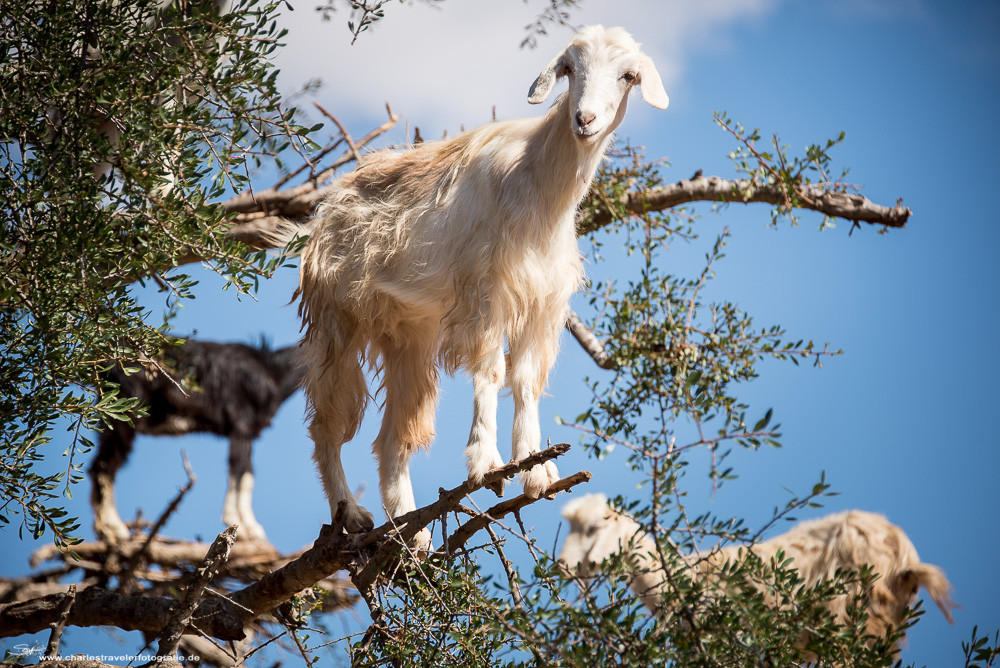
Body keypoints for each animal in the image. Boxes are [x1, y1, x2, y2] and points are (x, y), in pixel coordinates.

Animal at [93, 340, 304, 544]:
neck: (272, 371)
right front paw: (247, 528)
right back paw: (113, 529)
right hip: (122, 410)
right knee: (105, 463)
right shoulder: (241, 424)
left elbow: (244, 473)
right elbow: (243, 472)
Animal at [266, 26, 668, 552]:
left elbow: (525, 380)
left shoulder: (541, 305)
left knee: (392, 438)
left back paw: (412, 535)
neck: (537, 189)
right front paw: (486, 465)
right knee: (327, 426)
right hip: (338, 319)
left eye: (628, 76)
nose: (584, 119)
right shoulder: (485, 294)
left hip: (408, 337)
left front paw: (536, 472)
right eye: (570, 69)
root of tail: (322, 213)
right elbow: (492, 373)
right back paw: (351, 514)